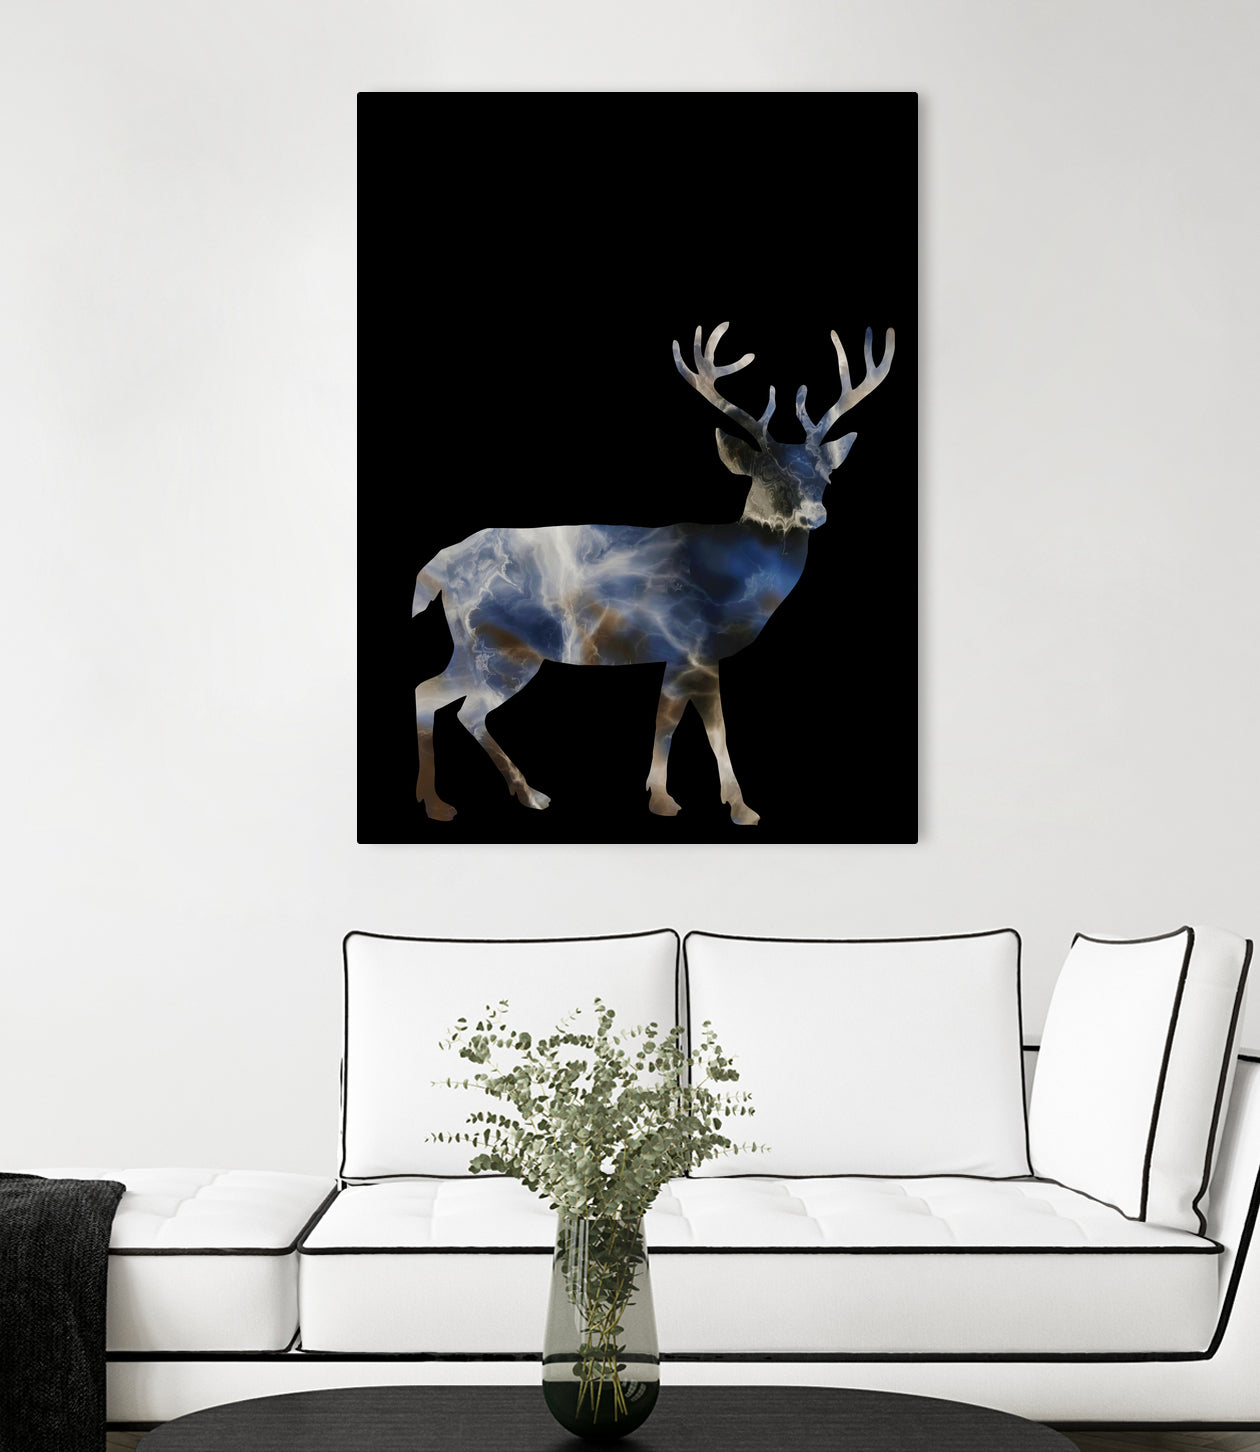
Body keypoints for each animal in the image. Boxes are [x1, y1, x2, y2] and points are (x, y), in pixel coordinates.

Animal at [410, 321, 895, 825]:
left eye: (826, 478)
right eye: (768, 475)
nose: (816, 515)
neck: (734, 576)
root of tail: (439, 567)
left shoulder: (680, 654)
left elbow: (668, 720)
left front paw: (663, 795)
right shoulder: (694, 644)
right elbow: (705, 727)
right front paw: (730, 806)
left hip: (474, 646)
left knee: (433, 694)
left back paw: (474, 797)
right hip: (502, 647)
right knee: (461, 706)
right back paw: (497, 797)